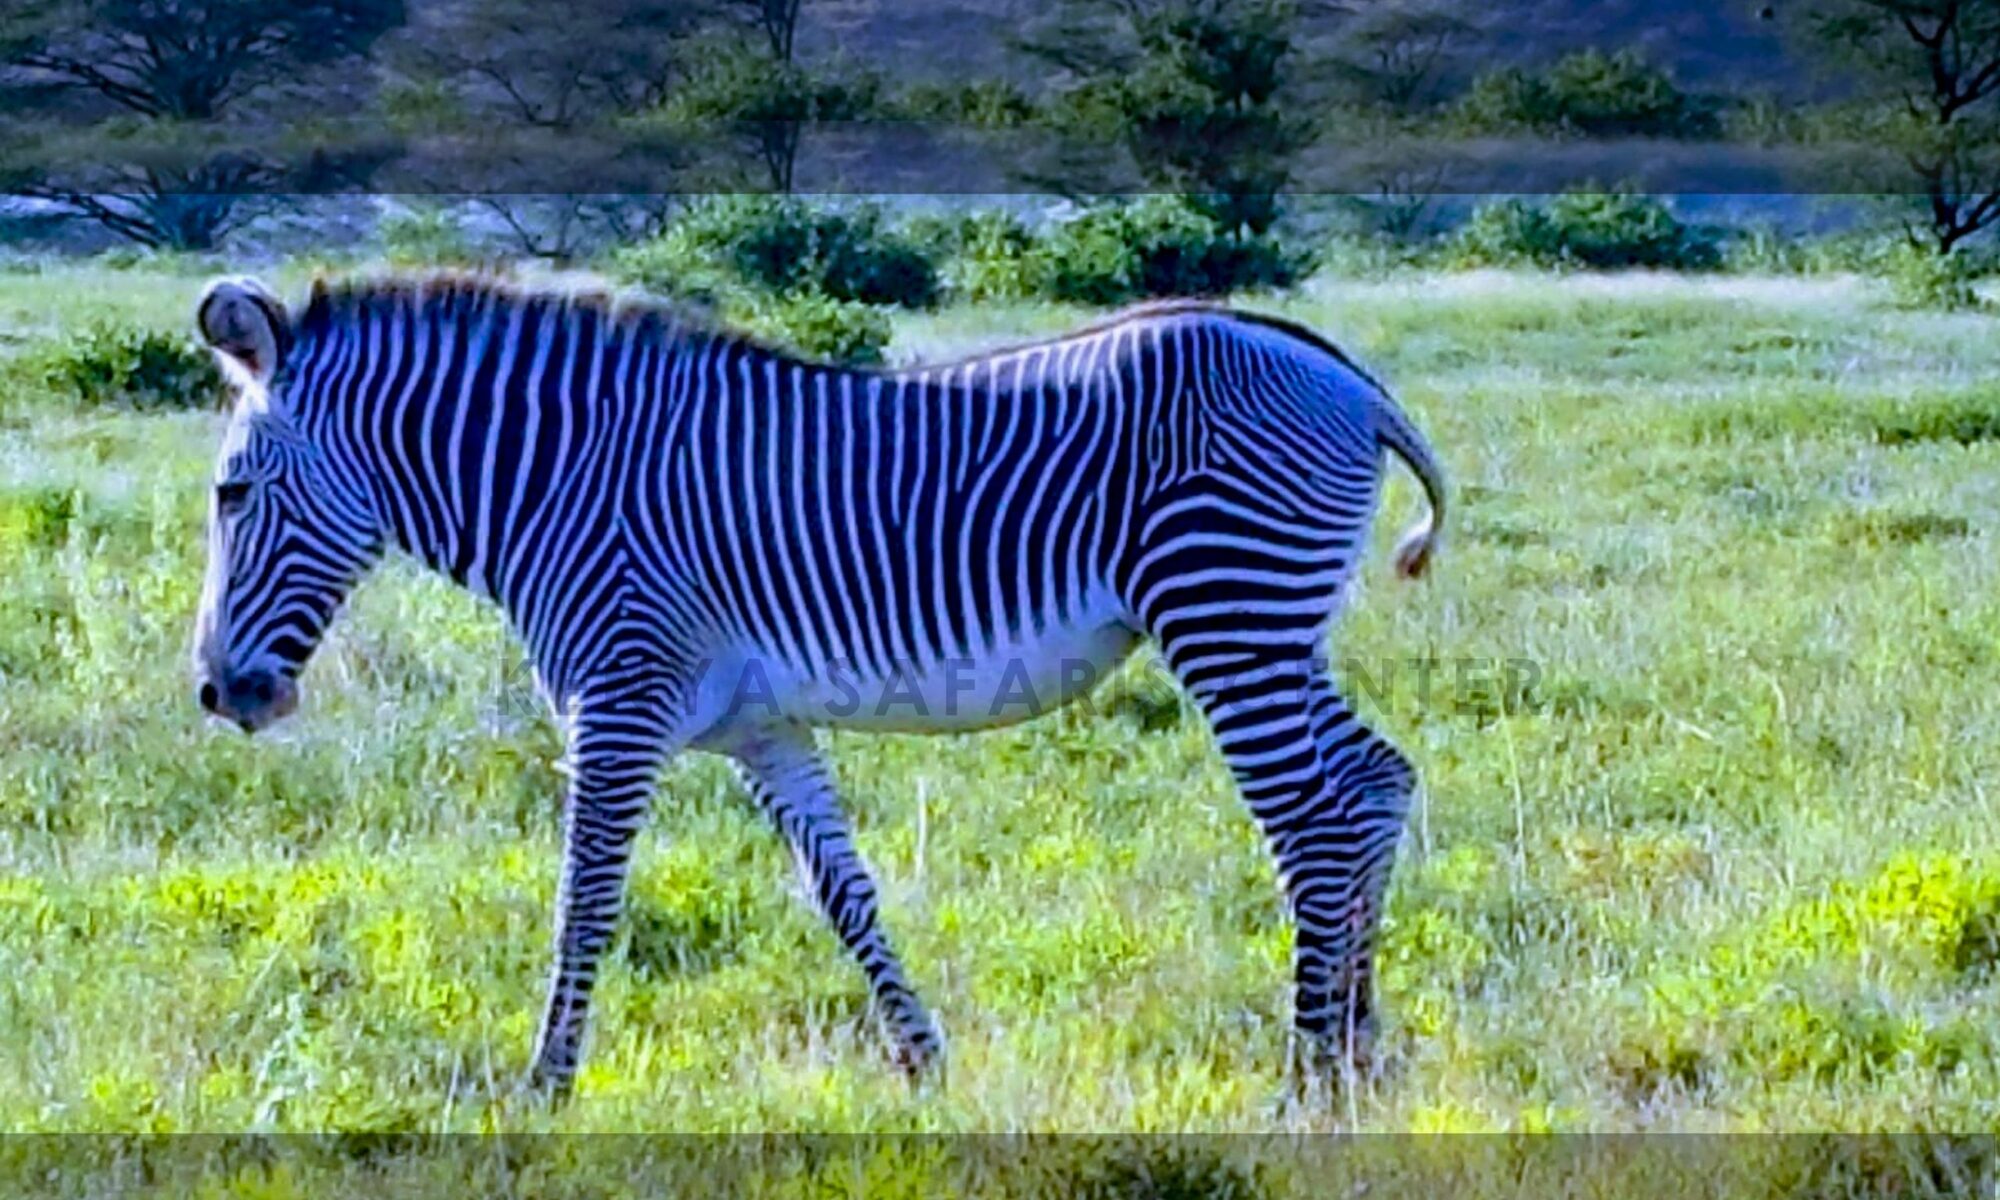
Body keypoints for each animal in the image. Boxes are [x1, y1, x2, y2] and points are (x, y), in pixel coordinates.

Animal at [190, 272, 1445, 1097]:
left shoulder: (619, 697)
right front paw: (922, 1063)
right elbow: (844, 893)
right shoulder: (764, 725)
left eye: (230, 494)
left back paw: (1302, 1069)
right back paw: (1361, 1053)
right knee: (1374, 781)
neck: (558, 488)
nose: (217, 695)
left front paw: (543, 1084)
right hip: (1271, 625)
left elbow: (584, 898)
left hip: (1226, 611)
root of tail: (1344, 377)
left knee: (1311, 821)